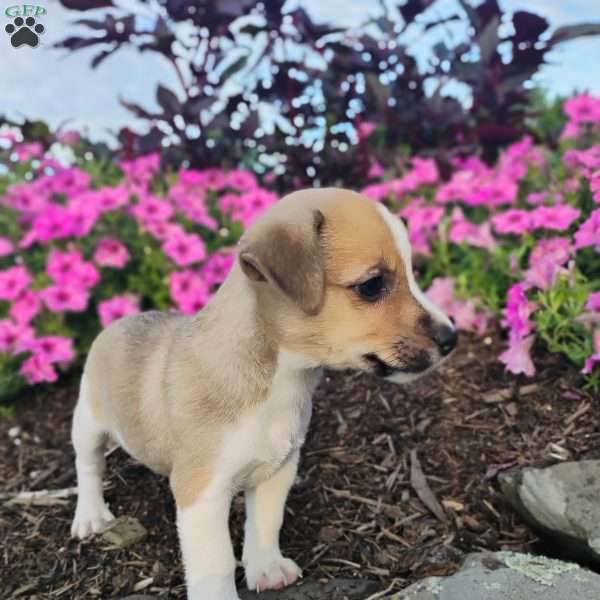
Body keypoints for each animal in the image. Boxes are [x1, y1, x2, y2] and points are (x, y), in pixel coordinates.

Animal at [69, 188, 454, 600]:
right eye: (371, 285)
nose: (453, 338)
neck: (280, 382)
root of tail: (119, 322)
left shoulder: (276, 471)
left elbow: (265, 524)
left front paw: (267, 569)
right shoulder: (203, 493)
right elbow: (216, 563)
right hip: (88, 425)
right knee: (88, 466)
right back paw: (90, 515)